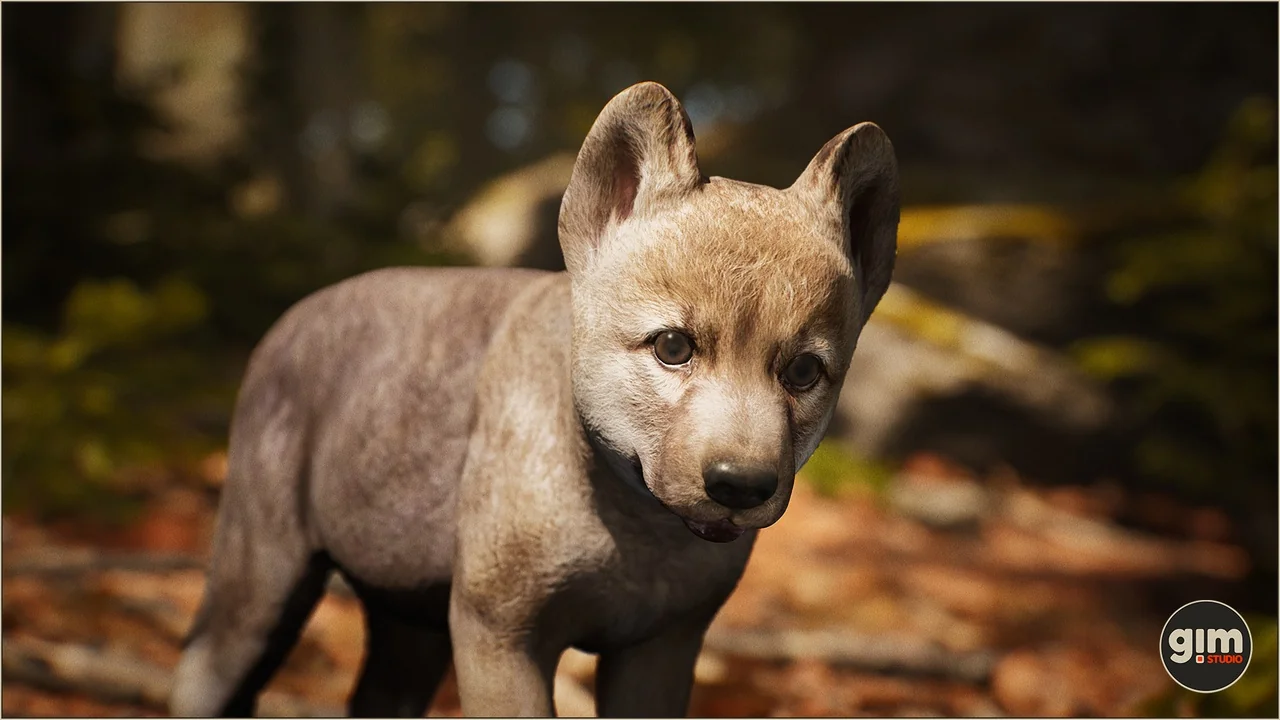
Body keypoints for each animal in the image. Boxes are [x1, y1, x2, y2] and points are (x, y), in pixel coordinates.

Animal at [169, 81, 899, 717]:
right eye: (672, 347)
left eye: (803, 372)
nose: (741, 485)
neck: (638, 533)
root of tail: (288, 319)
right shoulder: (500, 633)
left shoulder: (663, 648)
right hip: (262, 573)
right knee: (205, 673)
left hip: (410, 611)